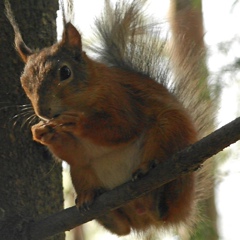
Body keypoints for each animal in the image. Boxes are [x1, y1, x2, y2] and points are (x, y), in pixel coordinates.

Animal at [7, 0, 209, 236]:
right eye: (24, 81)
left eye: (65, 72)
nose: (43, 112)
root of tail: (145, 216)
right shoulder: (77, 150)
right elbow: (75, 153)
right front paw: (41, 132)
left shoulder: (122, 99)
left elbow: (122, 128)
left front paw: (76, 122)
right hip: (81, 174)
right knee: (122, 228)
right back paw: (95, 203)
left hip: (168, 130)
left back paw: (153, 181)